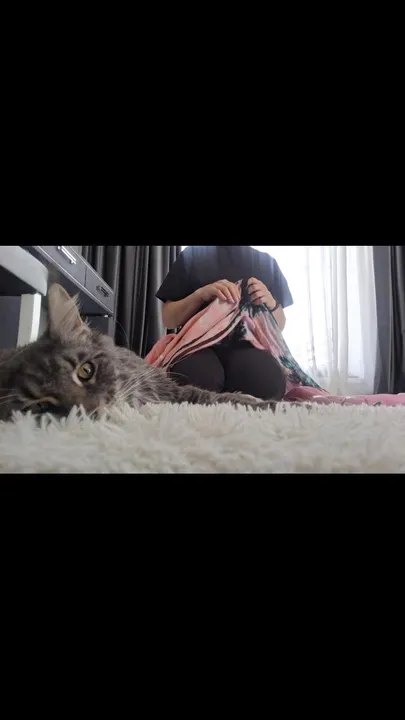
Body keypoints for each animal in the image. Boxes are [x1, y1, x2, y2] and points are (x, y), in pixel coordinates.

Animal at [0, 283, 277, 421]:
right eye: (42, 405)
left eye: (86, 370)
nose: (91, 412)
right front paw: (275, 406)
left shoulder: (173, 389)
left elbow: (219, 397)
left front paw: (262, 401)